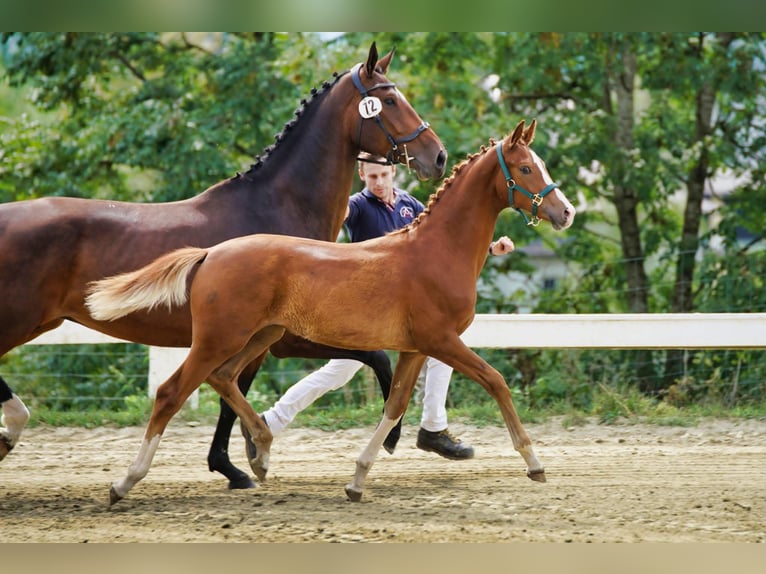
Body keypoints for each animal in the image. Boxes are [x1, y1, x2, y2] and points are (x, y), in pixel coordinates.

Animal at [0, 42, 447, 489]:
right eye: (391, 100)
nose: (438, 156)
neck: (274, 206)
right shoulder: (285, 337)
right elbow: (376, 359)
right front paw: (391, 436)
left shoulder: (258, 340)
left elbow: (231, 393)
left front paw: (234, 463)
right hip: (20, 319)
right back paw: (14, 427)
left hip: (39, 322)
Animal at [86, 118, 575, 505]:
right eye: (527, 168)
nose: (566, 212)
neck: (435, 250)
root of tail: (210, 253)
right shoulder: (441, 340)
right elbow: (496, 382)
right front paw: (534, 463)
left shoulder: (416, 348)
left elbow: (395, 404)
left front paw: (357, 480)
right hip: (219, 338)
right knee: (172, 392)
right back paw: (125, 483)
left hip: (257, 337)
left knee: (223, 379)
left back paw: (262, 451)